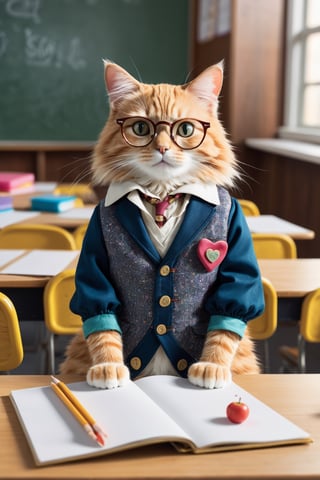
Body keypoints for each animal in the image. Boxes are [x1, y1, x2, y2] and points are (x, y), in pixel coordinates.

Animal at [58, 60, 264, 390]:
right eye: (141, 128)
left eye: (185, 129)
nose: (163, 149)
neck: (162, 194)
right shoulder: (95, 251)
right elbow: (103, 328)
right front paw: (108, 366)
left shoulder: (236, 249)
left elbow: (224, 328)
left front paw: (211, 366)